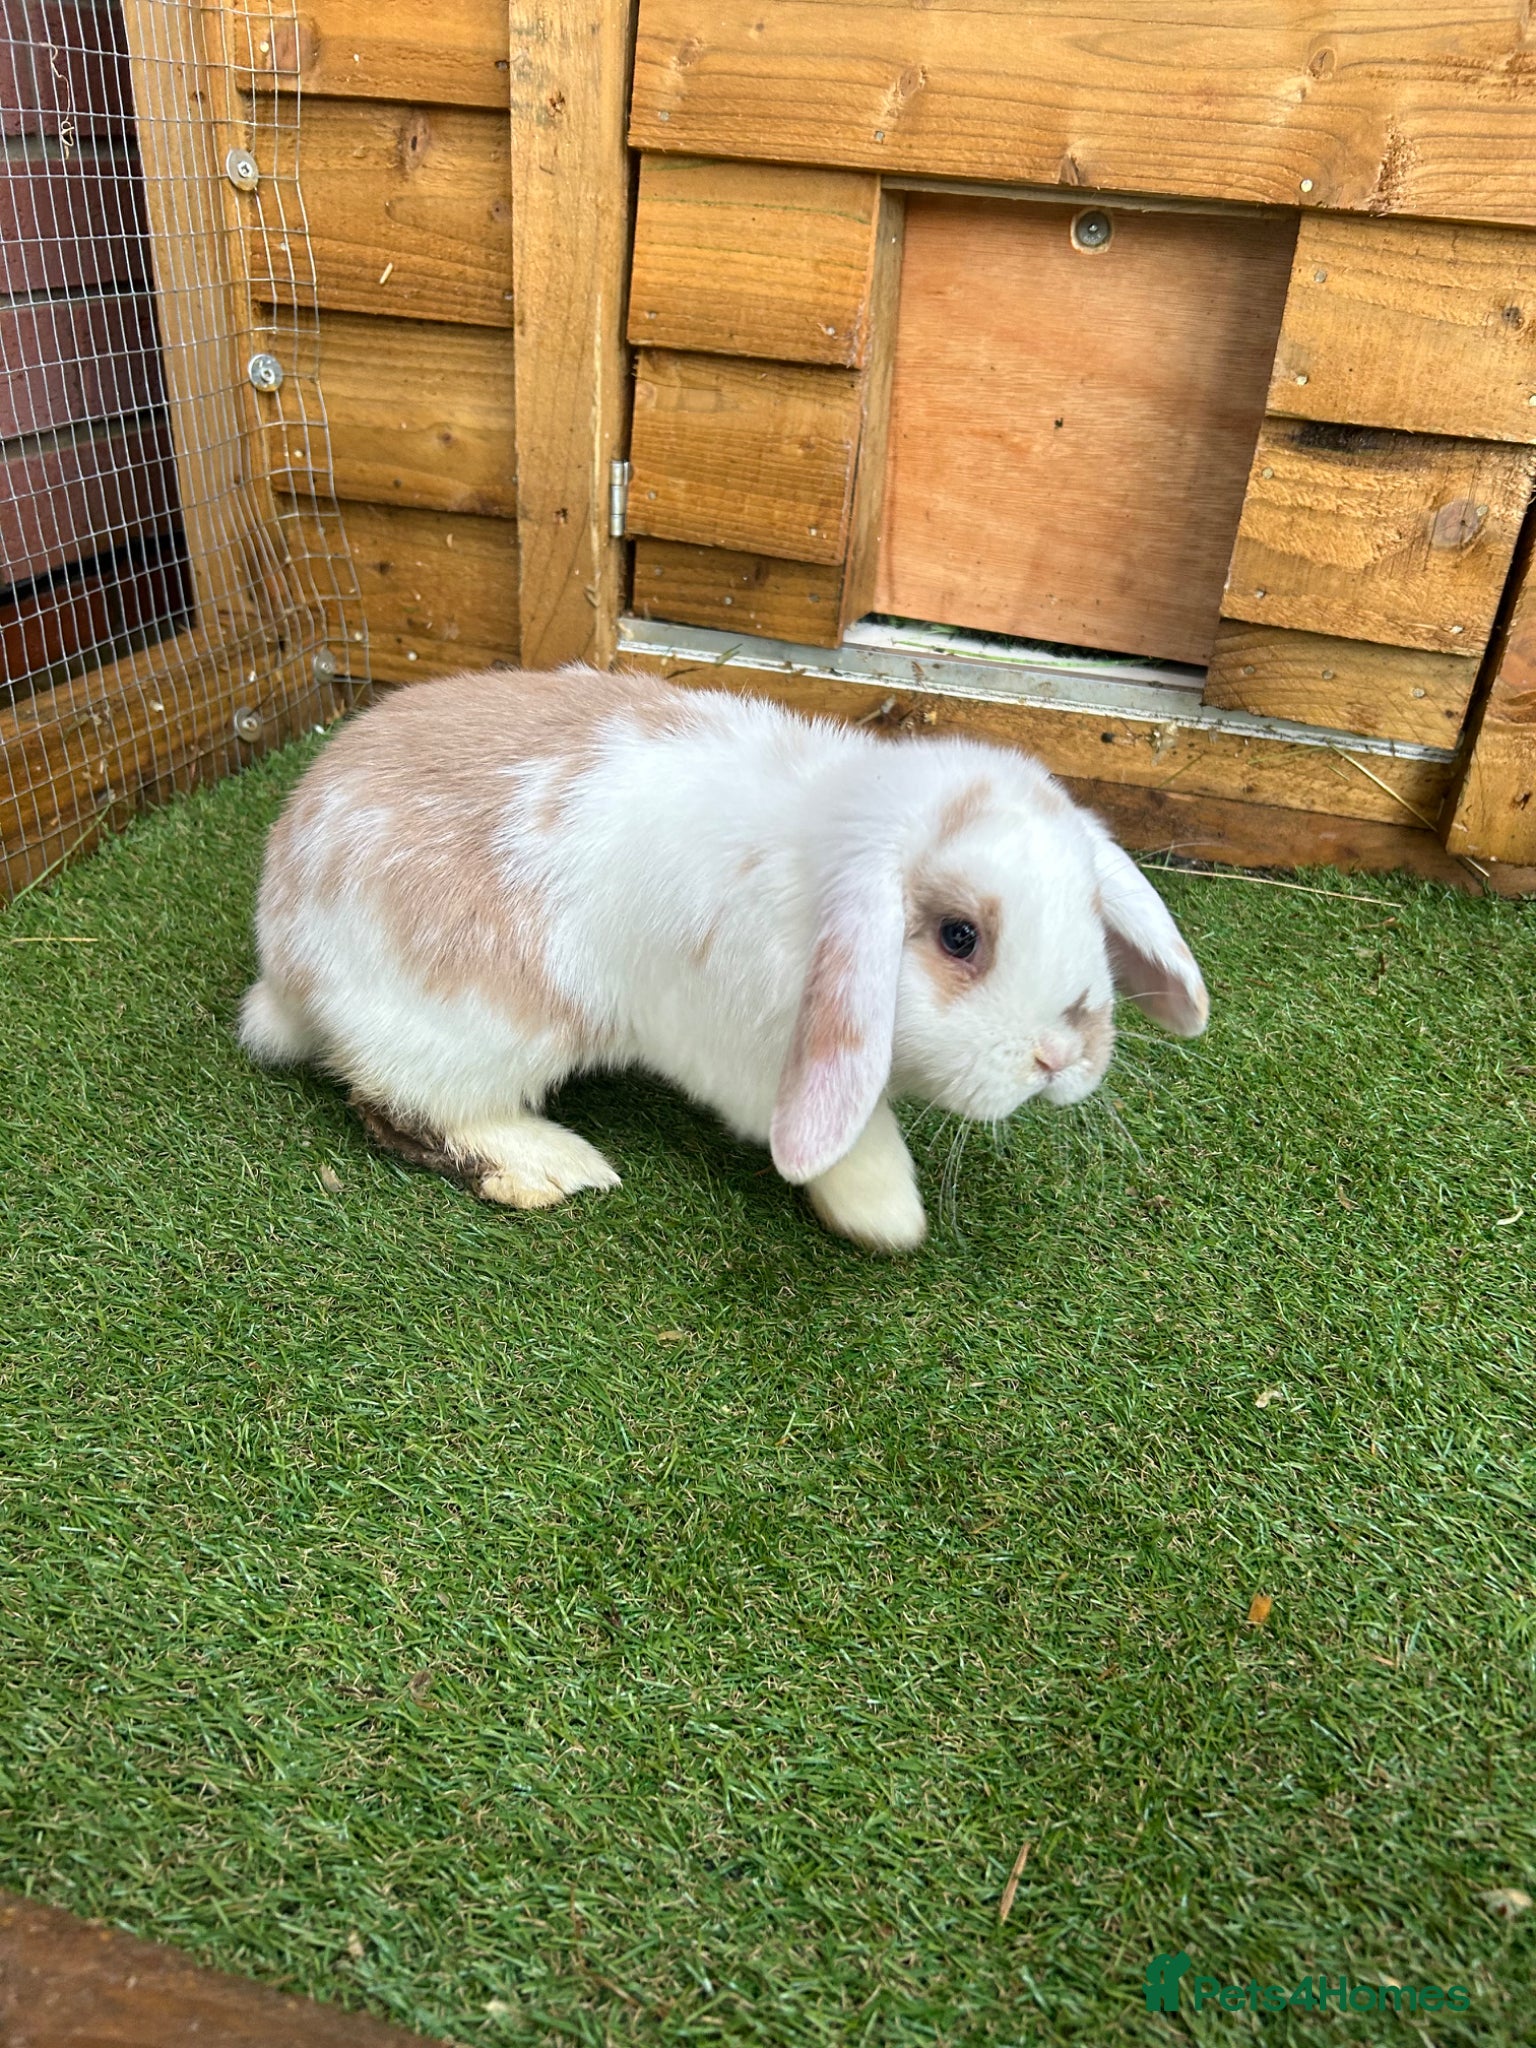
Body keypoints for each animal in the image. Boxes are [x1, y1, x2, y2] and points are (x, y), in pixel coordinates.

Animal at [239, 664, 1207, 1250]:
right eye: (959, 936)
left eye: (1090, 908)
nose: (1062, 1053)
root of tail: (284, 957)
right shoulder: (755, 1059)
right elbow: (855, 1140)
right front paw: (891, 1218)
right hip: (480, 1031)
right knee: (407, 1104)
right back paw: (553, 1163)